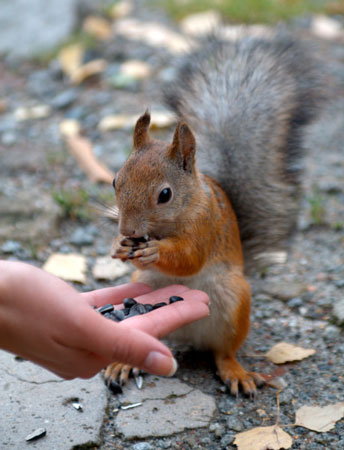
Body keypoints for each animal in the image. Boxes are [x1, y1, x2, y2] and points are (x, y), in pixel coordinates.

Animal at [105, 32, 322, 398]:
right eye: (114, 181)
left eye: (165, 195)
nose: (129, 230)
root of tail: (186, 335)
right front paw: (118, 246)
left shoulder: (205, 226)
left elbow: (189, 258)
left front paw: (154, 251)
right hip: (144, 284)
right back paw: (123, 362)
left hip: (233, 301)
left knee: (224, 351)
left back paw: (236, 372)